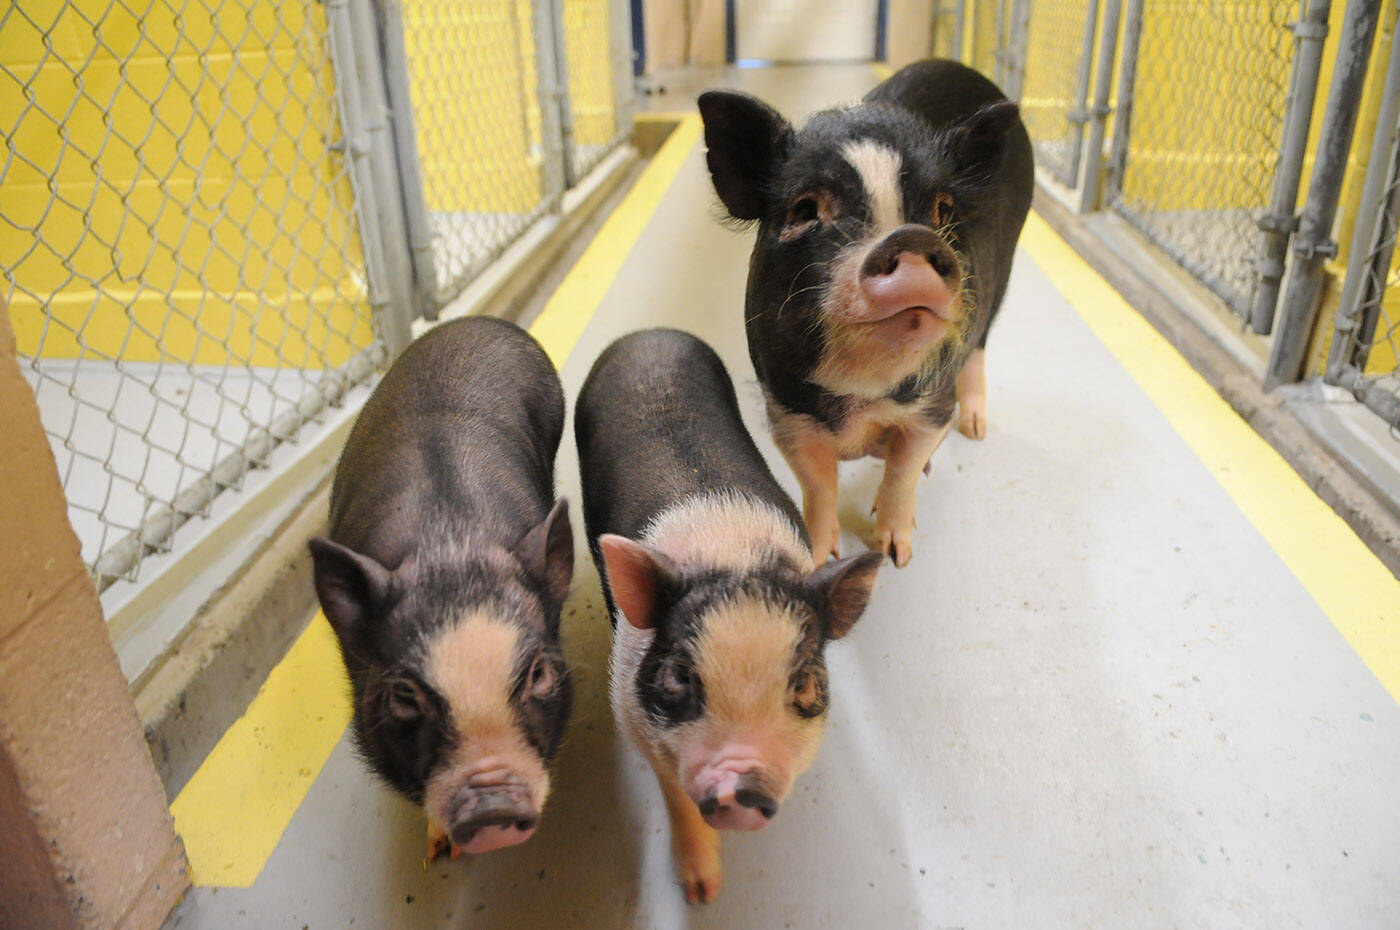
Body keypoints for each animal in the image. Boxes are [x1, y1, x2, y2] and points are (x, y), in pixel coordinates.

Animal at [309, 316, 571, 862]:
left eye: (538, 673)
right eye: (404, 696)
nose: (493, 809)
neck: (450, 543)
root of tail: (470, 322)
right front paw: (435, 854)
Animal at [574, 329, 879, 901]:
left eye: (805, 684)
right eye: (677, 677)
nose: (743, 788)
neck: (734, 558)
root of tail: (646, 335)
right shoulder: (631, 712)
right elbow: (674, 796)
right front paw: (702, 893)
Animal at [697, 59, 1036, 565]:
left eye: (943, 210)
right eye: (805, 208)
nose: (911, 238)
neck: (864, 392)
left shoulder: (933, 405)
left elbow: (901, 473)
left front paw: (896, 555)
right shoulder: (788, 413)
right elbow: (819, 488)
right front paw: (819, 559)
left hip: (1003, 276)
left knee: (978, 347)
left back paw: (975, 430)